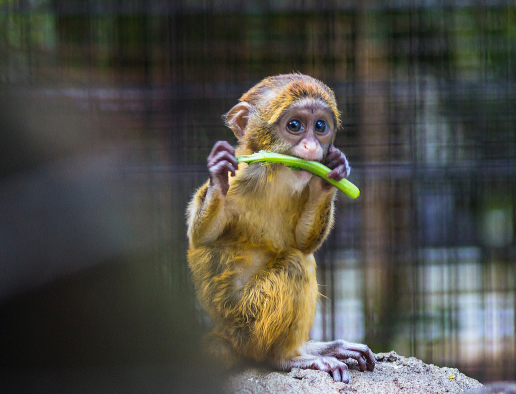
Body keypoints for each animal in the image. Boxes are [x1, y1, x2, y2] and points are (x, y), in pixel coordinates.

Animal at [186, 72, 374, 384]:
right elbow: (201, 237)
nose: (312, 147)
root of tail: (227, 335)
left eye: (320, 126)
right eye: (295, 126)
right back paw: (285, 357)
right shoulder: (243, 176)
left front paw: (330, 175)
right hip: (248, 322)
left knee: (301, 257)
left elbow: (302, 242)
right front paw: (217, 176)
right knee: (296, 265)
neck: (275, 174)